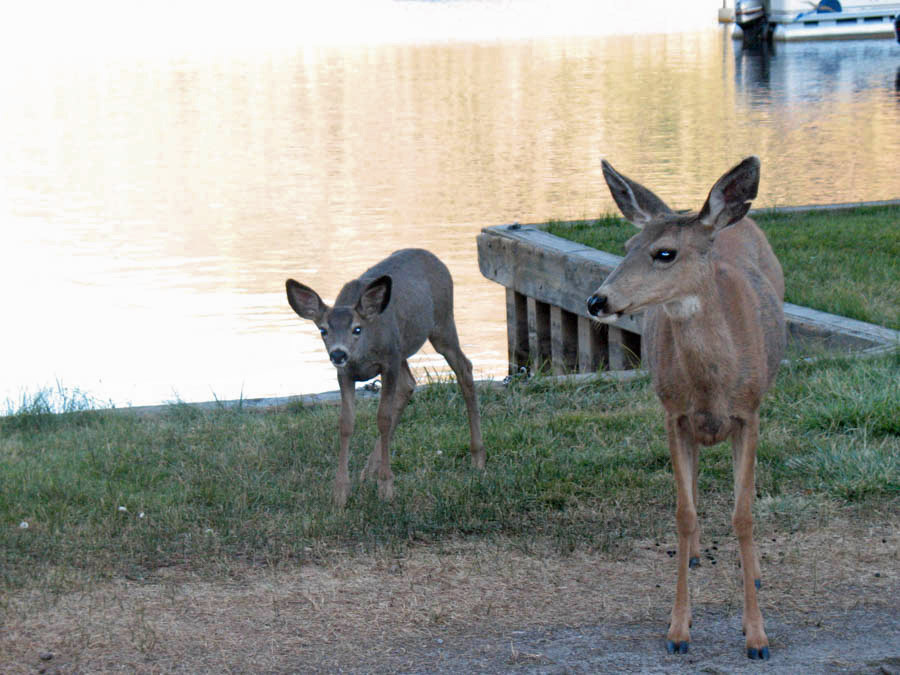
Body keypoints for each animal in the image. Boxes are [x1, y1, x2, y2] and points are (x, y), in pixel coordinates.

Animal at [286, 248, 486, 508]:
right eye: (323, 330)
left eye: (357, 329)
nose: (338, 354)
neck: (363, 354)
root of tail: (434, 257)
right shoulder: (346, 373)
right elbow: (346, 423)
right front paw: (340, 491)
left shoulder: (388, 361)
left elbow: (383, 418)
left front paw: (386, 487)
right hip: (403, 348)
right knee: (409, 384)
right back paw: (369, 469)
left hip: (442, 323)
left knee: (465, 368)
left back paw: (478, 456)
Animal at [588, 157, 784, 660]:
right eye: (627, 246)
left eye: (665, 253)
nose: (597, 300)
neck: (712, 385)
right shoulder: (673, 415)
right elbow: (683, 513)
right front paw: (678, 629)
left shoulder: (749, 414)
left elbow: (743, 515)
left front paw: (757, 636)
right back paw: (694, 556)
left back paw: (754, 572)